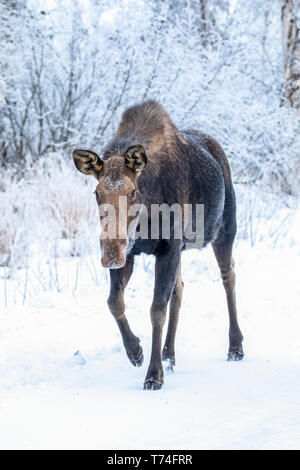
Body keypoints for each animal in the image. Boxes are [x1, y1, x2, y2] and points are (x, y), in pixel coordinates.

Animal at [72, 101, 244, 392]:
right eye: (97, 193)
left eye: (132, 191)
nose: (109, 256)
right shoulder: (132, 251)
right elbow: (114, 302)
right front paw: (135, 352)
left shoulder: (168, 247)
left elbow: (156, 309)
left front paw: (153, 375)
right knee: (180, 288)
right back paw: (168, 353)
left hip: (223, 230)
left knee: (228, 276)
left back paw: (235, 346)